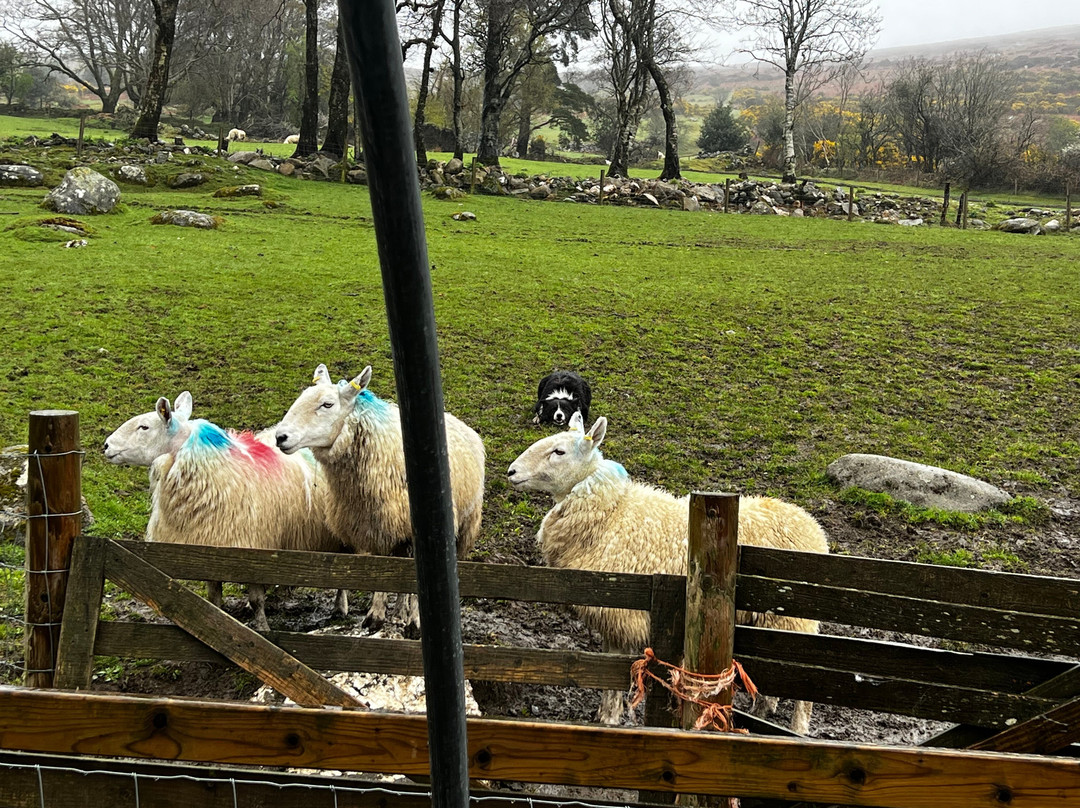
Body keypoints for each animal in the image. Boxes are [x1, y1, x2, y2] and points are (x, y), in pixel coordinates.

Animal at [104, 391, 349, 631]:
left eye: (144, 427)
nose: (106, 445)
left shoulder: (253, 546)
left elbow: (256, 600)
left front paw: (262, 627)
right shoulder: (209, 545)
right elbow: (214, 599)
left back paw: (341, 607)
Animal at [274, 364, 486, 630]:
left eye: (327, 404)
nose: (280, 437)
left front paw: (416, 620)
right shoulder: (374, 524)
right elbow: (382, 568)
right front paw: (376, 614)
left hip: (465, 524)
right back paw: (399, 611)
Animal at [507, 412, 828, 733]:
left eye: (559, 452)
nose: (511, 471)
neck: (612, 512)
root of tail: (814, 528)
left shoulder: (622, 615)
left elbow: (614, 676)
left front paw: (610, 719)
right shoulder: (611, 618)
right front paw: (603, 715)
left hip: (794, 621)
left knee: (806, 688)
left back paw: (798, 728)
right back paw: (762, 712)